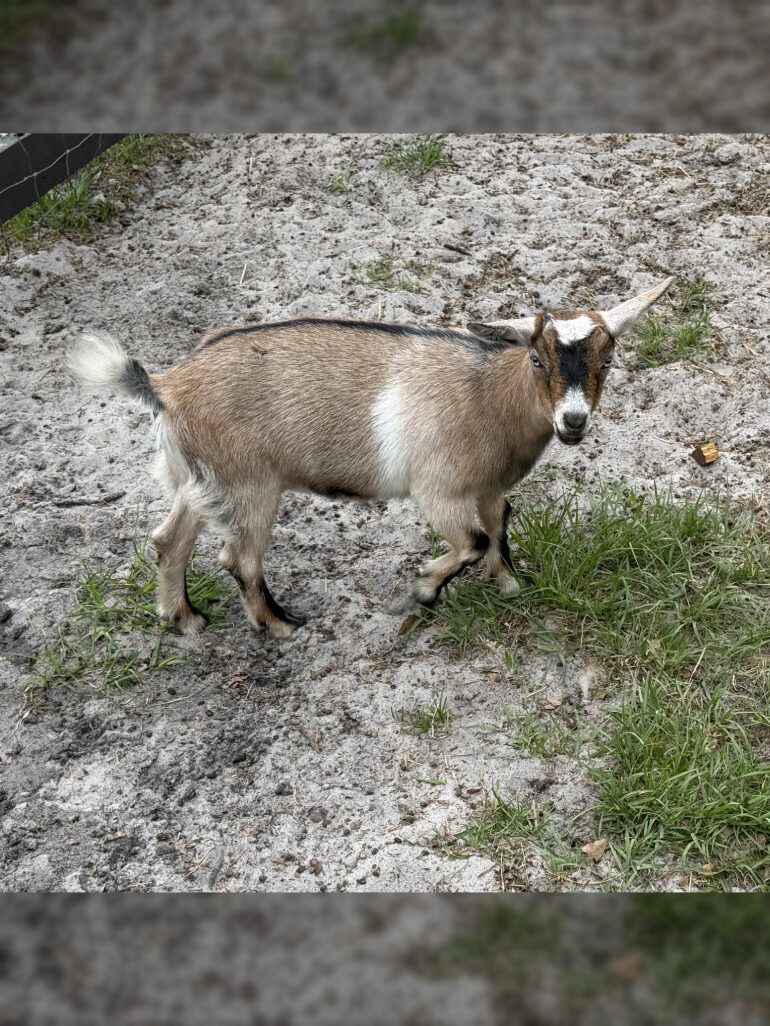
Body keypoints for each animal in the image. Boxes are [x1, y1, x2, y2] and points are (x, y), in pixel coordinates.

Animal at [67, 277, 673, 639]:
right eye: (536, 358)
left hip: (196, 477)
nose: (573, 421)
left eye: (608, 360)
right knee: (237, 559)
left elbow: (500, 526)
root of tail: (167, 385)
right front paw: (424, 589)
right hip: (249, 484)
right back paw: (280, 625)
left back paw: (185, 617)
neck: (486, 396)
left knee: (168, 539)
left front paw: (510, 585)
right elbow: (474, 541)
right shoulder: (439, 490)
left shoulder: (489, 488)